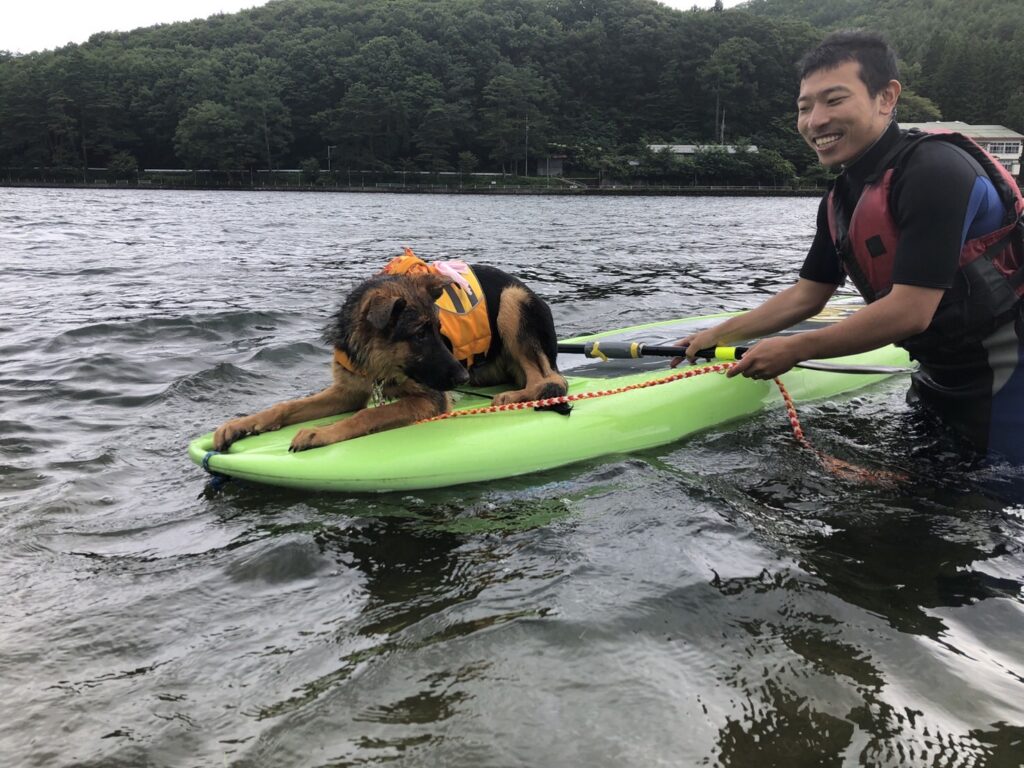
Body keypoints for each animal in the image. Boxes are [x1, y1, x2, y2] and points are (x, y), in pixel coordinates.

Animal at [214, 262, 569, 454]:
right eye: (420, 335)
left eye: (439, 330)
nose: (462, 379)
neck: (378, 359)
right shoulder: (347, 391)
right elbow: (286, 407)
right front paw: (239, 425)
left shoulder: (430, 398)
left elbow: (367, 414)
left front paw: (320, 433)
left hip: (512, 302)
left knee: (554, 380)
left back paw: (512, 396)